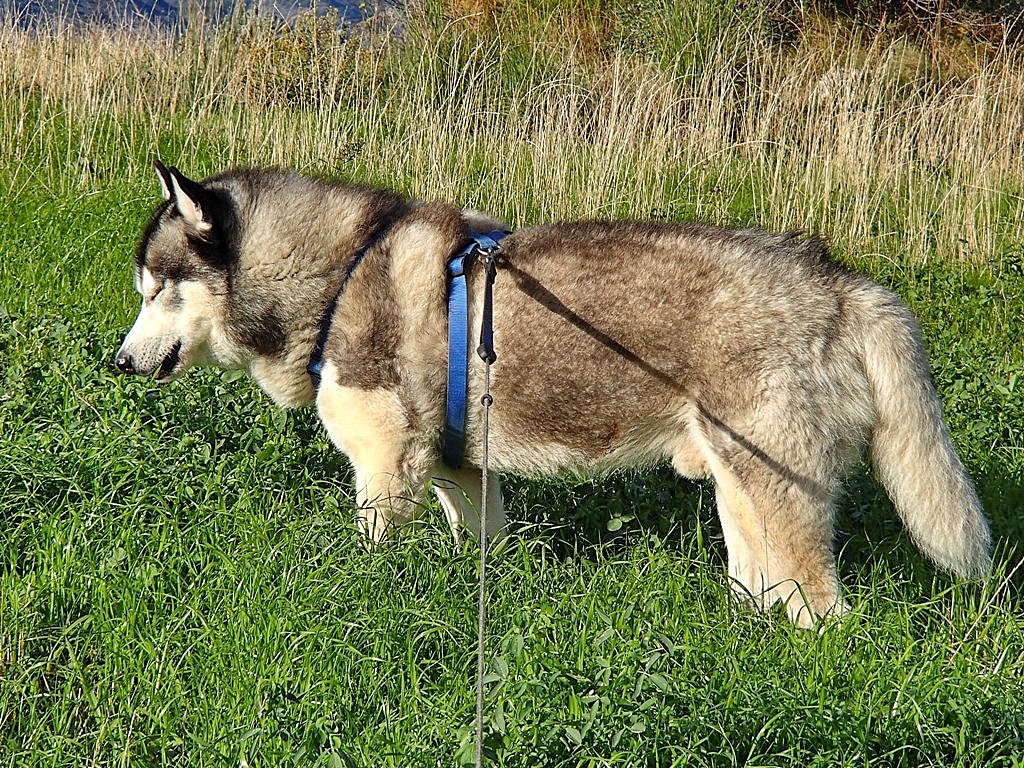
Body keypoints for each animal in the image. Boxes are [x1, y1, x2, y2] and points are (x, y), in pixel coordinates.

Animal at [114, 162, 991, 626]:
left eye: (157, 289)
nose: (118, 361)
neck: (339, 274)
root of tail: (839, 281)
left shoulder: (386, 472)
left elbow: (370, 558)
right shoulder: (462, 472)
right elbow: (482, 547)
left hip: (780, 488)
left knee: (823, 606)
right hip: (740, 485)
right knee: (759, 582)